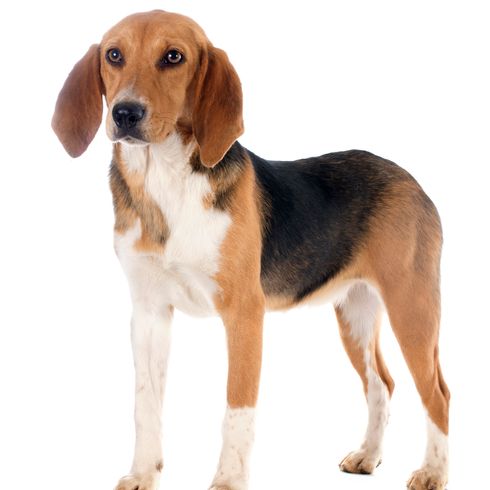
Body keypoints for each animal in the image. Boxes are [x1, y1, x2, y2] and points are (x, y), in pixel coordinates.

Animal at [51, 8, 450, 490]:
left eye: (173, 57)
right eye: (113, 55)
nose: (126, 112)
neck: (165, 181)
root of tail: (409, 178)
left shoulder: (243, 314)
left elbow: (236, 411)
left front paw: (227, 480)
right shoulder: (148, 313)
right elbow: (145, 404)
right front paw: (143, 472)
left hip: (412, 308)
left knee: (438, 394)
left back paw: (433, 471)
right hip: (355, 313)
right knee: (381, 385)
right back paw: (369, 456)